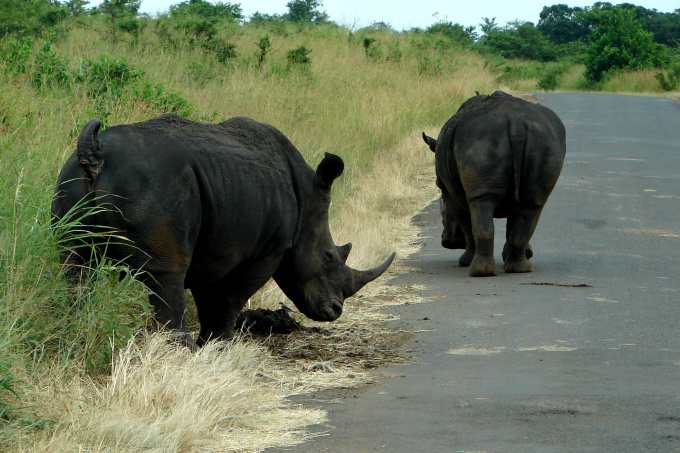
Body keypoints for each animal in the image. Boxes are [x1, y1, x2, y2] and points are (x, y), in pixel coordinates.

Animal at [53, 114, 396, 346]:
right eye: (328, 257)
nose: (336, 310)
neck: (306, 197)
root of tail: (95, 155)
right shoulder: (271, 249)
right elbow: (233, 295)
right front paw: (223, 343)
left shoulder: (214, 244)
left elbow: (208, 293)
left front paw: (209, 342)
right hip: (157, 185)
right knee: (166, 270)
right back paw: (178, 348)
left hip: (71, 177)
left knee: (74, 264)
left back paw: (74, 331)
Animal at [422, 91, 564, 276]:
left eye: (443, 215)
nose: (446, 242)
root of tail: (517, 124)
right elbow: (512, 221)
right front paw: (520, 254)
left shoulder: (448, 192)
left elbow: (465, 222)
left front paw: (464, 262)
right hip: (544, 139)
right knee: (531, 204)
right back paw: (520, 269)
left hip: (481, 139)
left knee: (481, 201)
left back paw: (479, 272)